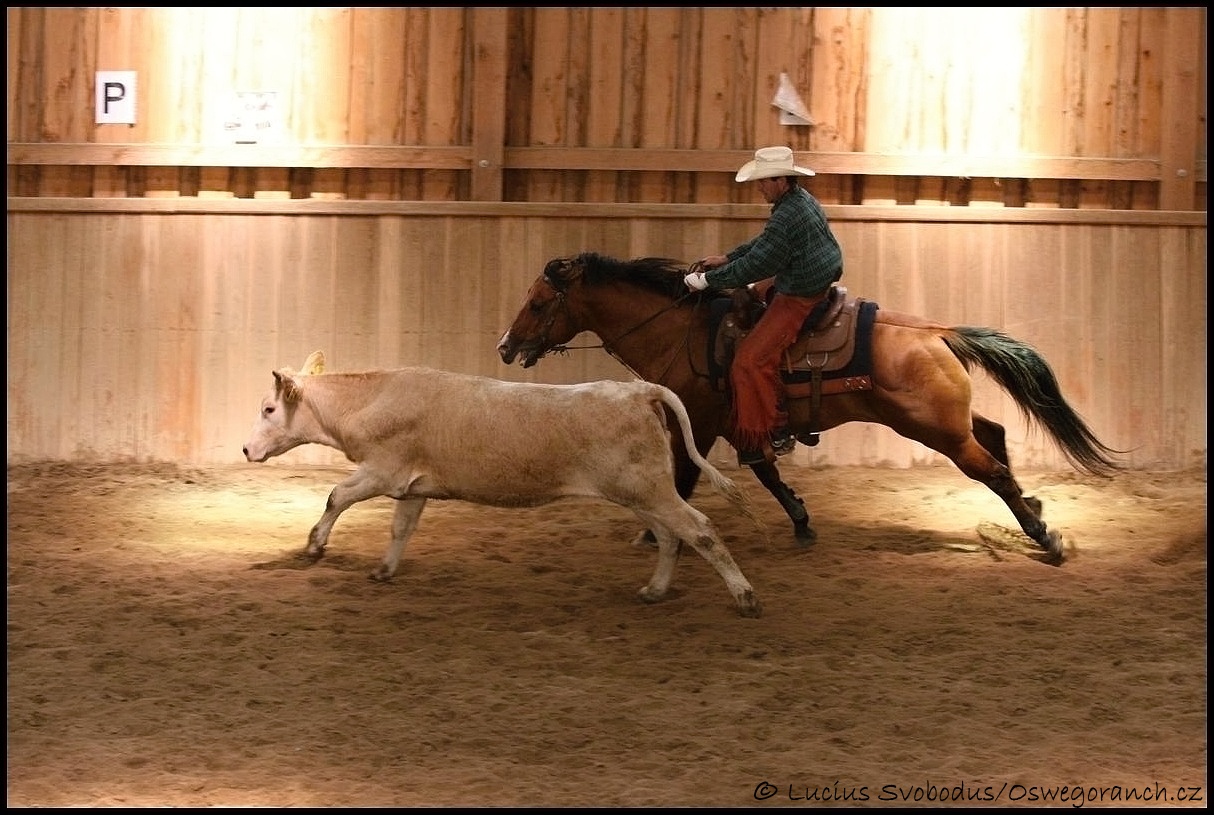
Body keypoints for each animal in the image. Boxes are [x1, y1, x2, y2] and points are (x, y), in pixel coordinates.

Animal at [241, 352, 762, 619]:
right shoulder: (415, 488)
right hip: (641, 493)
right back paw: (654, 590)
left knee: (700, 529)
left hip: (650, 489)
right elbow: (400, 528)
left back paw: (746, 598)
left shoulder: (381, 472)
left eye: (268, 408)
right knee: (673, 536)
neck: (373, 399)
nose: (246, 449)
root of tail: (639, 390)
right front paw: (384, 570)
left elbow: (336, 497)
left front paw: (314, 546)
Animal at [492, 251, 1116, 563]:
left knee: (991, 469)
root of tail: (938, 332)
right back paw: (1033, 507)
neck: (682, 332)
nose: (506, 346)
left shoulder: (702, 419)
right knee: (995, 436)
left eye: (539, 302)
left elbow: (687, 475)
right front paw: (800, 520)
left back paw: (1044, 536)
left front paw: (657, 534)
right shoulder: (733, 423)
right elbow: (766, 471)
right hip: (945, 422)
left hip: (935, 429)